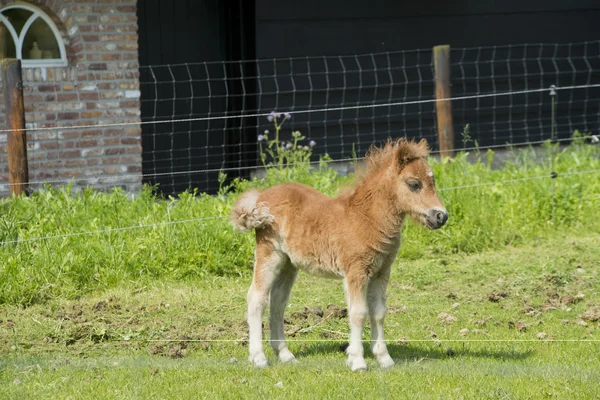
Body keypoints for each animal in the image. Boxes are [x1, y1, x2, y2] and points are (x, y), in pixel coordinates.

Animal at [230, 139, 446, 370]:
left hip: (289, 263)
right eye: (414, 184)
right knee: (257, 298)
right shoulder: (356, 271)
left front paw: (384, 358)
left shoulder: (381, 272)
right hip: (269, 254)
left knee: (278, 301)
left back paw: (285, 354)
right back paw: (258, 357)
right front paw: (358, 361)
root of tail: (260, 198)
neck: (367, 218)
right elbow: (358, 313)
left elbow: (378, 312)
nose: (441, 216)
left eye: (433, 181)